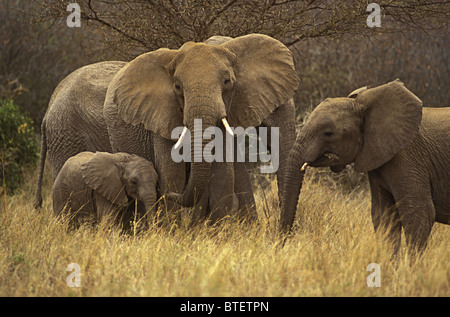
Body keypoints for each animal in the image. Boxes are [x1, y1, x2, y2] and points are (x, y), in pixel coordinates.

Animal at [102, 34, 298, 222]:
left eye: (227, 82)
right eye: (177, 87)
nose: (169, 195)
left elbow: (223, 175)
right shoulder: (160, 115)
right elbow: (172, 175)